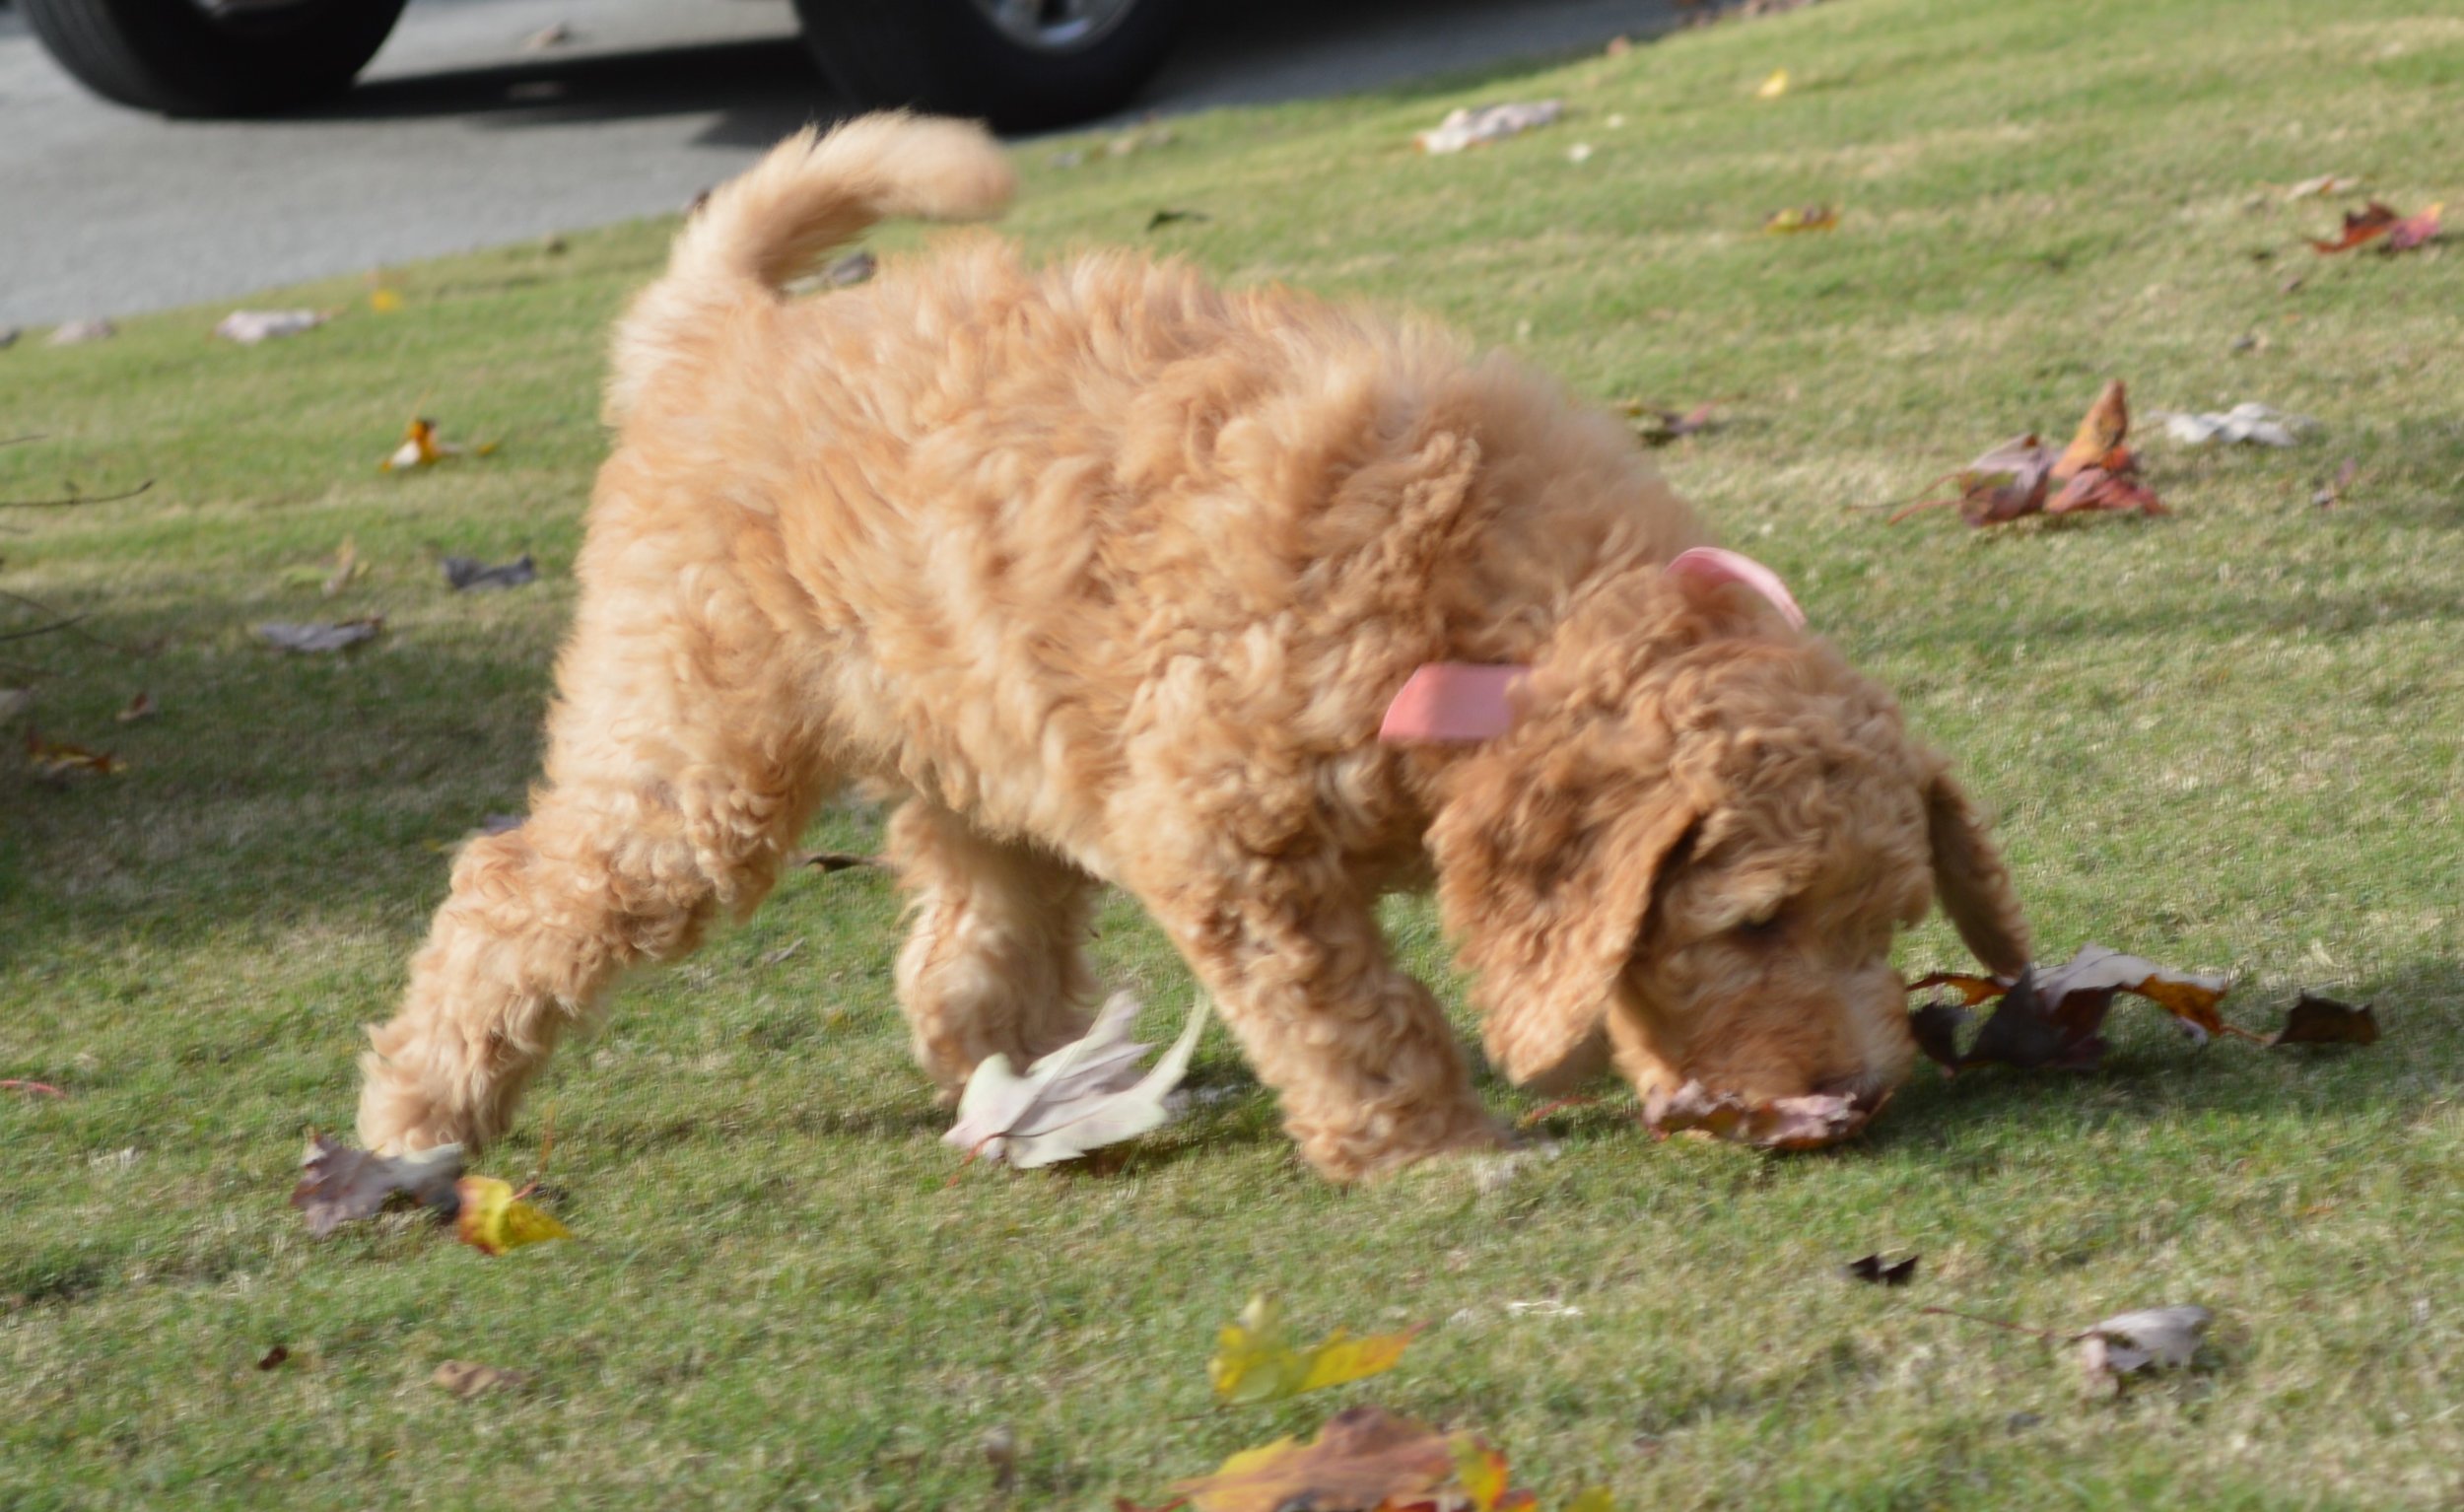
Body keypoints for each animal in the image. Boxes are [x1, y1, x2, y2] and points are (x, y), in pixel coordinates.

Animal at [357, 115, 2030, 1187]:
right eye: (1751, 920)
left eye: (1889, 921)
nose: (1859, 1090)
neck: (1485, 615)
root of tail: (723, 338)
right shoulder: (1229, 830)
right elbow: (1355, 1008)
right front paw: (1436, 1150)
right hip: (693, 750)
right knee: (517, 890)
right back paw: (419, 1113)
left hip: (983, 724)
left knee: (974, 925)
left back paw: (1025, 1081)